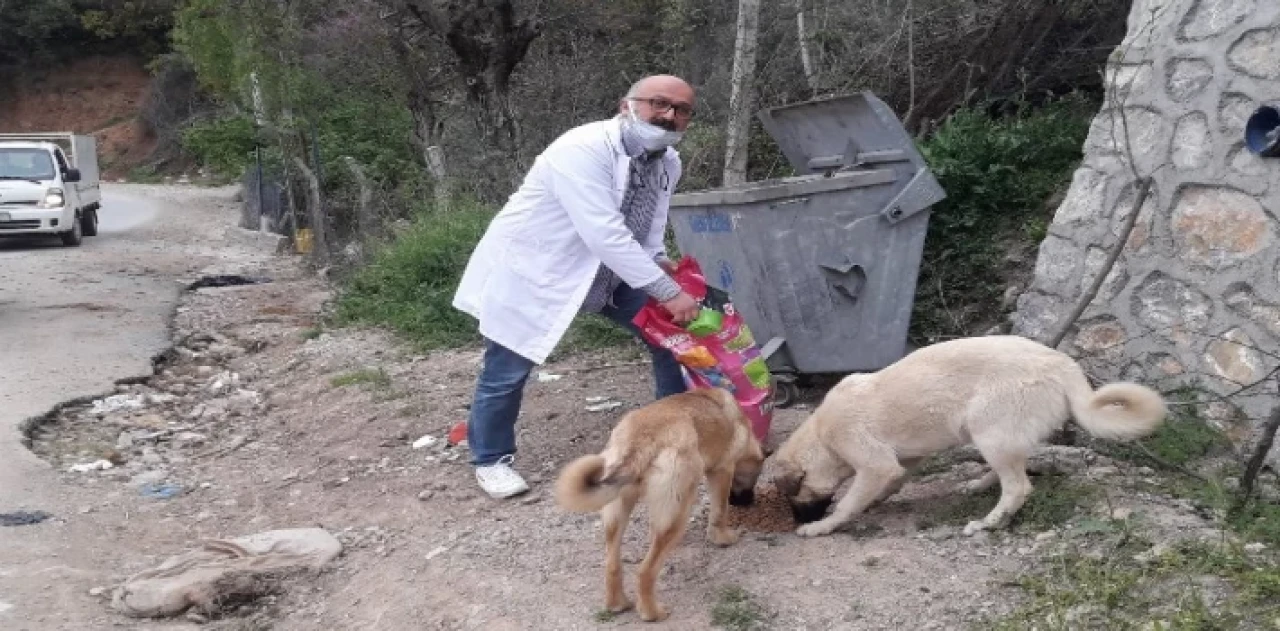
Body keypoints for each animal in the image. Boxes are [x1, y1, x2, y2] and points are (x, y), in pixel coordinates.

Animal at [555, 389, 762, 619]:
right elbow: (720, 511)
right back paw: (651, 612)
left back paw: (617, 604)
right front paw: (722, 538)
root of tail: (639, 442)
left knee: (612, 564)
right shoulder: (723, 471)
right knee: (645, 571)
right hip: (677, 513)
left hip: (617, 512)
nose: (748, 502)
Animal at [768, 335, 1172, 535]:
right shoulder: (904, 460)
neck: (821, 435)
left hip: (987, 430)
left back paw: (988, 523)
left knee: (1019, 487)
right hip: (995, 435)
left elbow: (850, 501)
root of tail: (1062, 363)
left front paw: (823, 527)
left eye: (795, 497)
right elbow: (887, 485)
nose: (796, 523)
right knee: (1013, 469)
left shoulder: (873, 462)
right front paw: (875, 501)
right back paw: (979, 485)